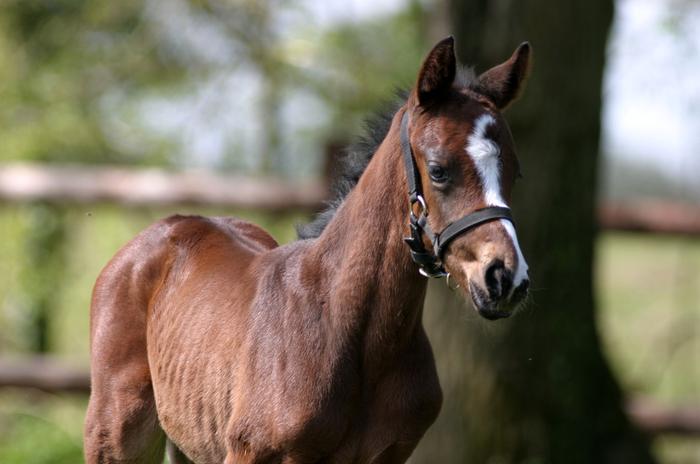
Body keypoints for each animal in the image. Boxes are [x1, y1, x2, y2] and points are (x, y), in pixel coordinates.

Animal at [85, 37, 532, 464]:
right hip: (115, 435)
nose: (505, 278)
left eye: (514, 172)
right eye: (438, 170)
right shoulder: (249, 452)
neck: (345, 325)